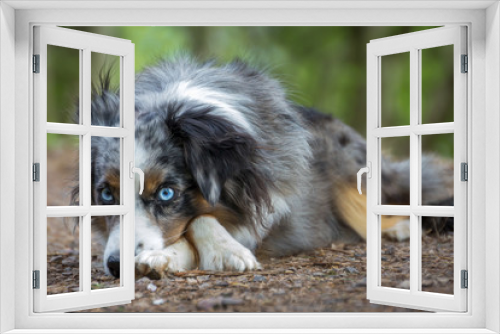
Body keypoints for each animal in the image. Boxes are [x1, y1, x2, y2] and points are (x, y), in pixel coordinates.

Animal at [79, 57, 454, 280]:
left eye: (167, 193)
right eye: (106, 194)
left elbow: (201, 218)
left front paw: (224, 252)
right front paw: (163, 258)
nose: (115, 266)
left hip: (343, 167)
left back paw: (398, 228)